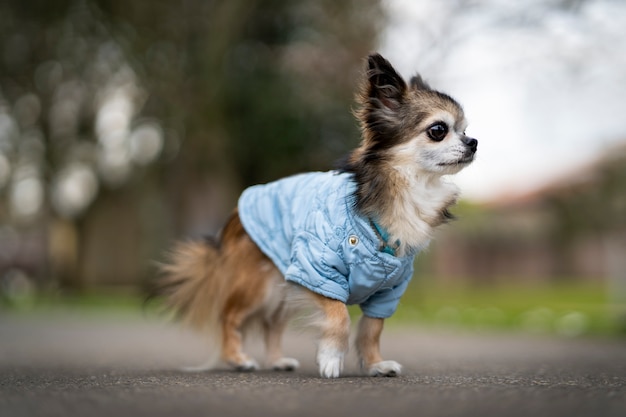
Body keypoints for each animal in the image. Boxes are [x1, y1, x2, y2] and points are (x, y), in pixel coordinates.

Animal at [154, 52, 476, 376]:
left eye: (464, 130)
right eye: (438, 130)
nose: (473, 142)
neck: (409, 190)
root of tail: (234, 217)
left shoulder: (389, 289)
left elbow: (372, 329)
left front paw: (375, 364)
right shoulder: (318, 272)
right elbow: (340, 316)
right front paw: (331, 358)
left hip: (282, 285)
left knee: (272, 324)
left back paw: (277, 360)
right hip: (259, 285)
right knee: (230, 316)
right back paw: (237, 358)